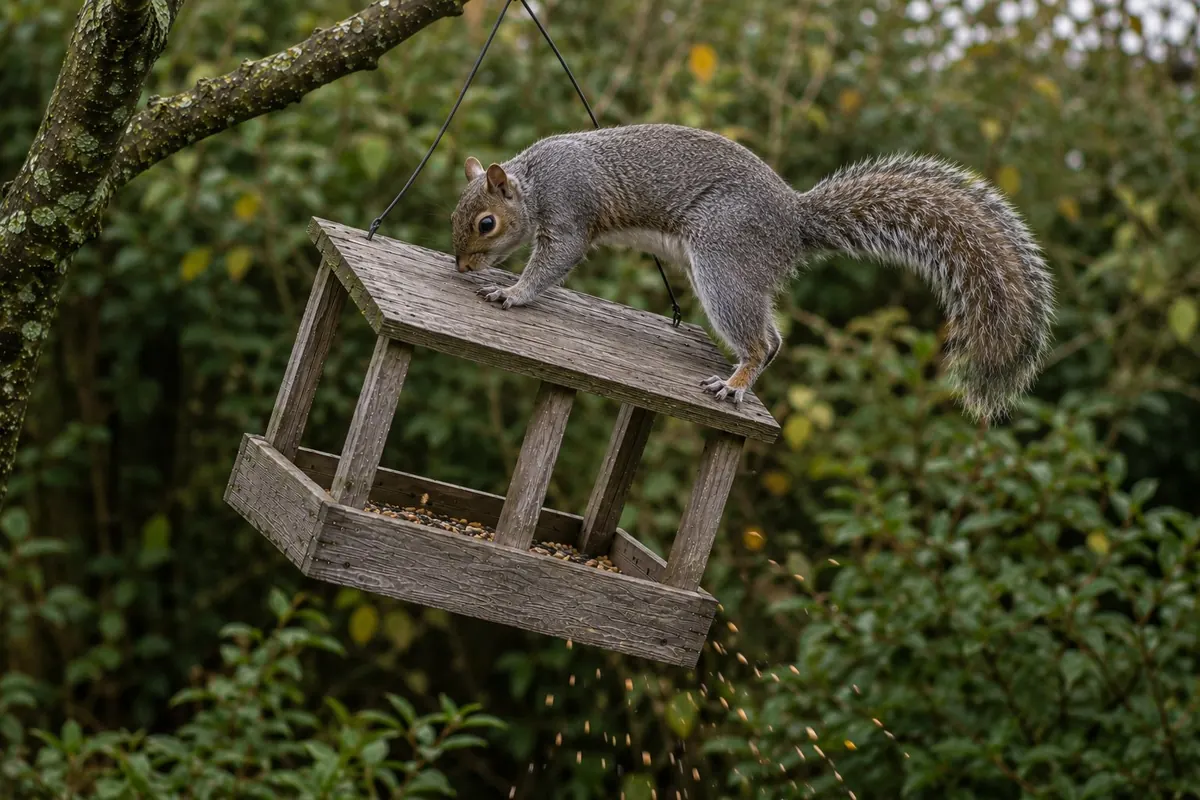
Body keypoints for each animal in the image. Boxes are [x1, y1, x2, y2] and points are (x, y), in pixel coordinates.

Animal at [450, 123, 1054, 423]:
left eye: (485, 223)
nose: (461, 265)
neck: (533, 182)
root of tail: (794, 222)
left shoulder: (571, 210)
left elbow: (554, 263)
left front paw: (512, 292)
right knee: (774, 339)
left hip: (724, 263)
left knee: (761, 341)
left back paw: (734, 384)